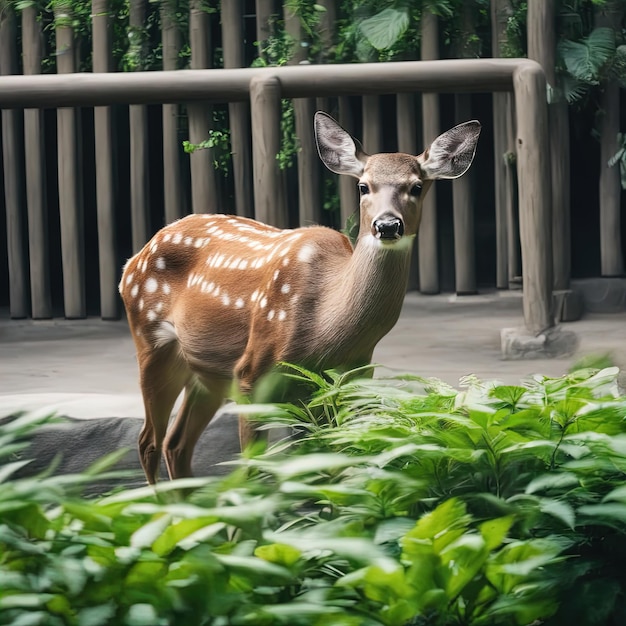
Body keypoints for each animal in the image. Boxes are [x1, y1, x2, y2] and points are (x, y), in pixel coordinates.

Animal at [118, 112, 478, 482]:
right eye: (363, 186)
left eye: (416, 186)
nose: (388, 225)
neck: (325, 328)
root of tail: (133, 259)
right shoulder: (250, 372)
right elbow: (253, 470)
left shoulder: (349, 376)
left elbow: (331, 466)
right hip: (152, 342)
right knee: (148, 442)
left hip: (205, 370)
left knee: (175, 444)